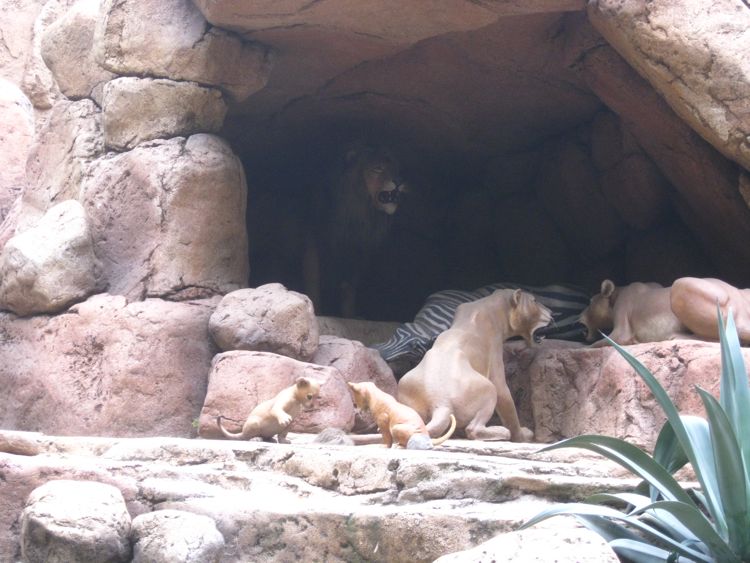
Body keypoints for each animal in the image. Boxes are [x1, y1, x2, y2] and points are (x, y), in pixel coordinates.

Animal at [304, 142, 408, 318]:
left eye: (396, 169)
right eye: (378, 168)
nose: (399, 181)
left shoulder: (358, 252)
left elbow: (349, 287)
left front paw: (350, 315)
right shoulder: (314, 242)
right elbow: (313, 278)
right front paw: (317, 311)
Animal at [400, 290, 552, 446]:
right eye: (534, 300)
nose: (551, 313)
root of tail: (440, 402)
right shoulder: (495, 350)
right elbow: (503, 393)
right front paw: (523, 435)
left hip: (407, 386)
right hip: (484, 388)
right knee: (474, 427)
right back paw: (502, 431)